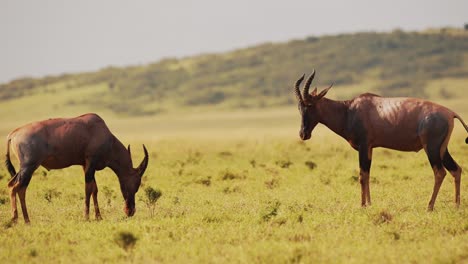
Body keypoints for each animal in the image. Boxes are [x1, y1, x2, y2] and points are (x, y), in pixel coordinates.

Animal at [4, 113, 148, 223]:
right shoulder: (91, 163)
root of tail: (13, 133)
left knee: (14, 185)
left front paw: (99, 217)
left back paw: (26, 220)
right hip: (29, 166)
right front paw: (86, 217)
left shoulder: (86, 165)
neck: (100, 131)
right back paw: (16, 219)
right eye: (135, 184)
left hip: (24, 168)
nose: (130, 211)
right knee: (16, 187)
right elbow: (88, 189)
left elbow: (95, 189)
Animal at [294, 70, 468, 210]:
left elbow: (362, 175)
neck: (349, 110)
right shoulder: (370, 148)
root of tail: (450, 113)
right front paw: (369, 204)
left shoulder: (364, 146)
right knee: (456, 169)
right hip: (442, 149)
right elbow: (367, 174)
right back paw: (456, 205)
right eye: (299, 106)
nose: (303, 134)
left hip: (431, 148)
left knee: (440, 172)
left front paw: (362, 205)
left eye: (310, 105)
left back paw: (429, 206)